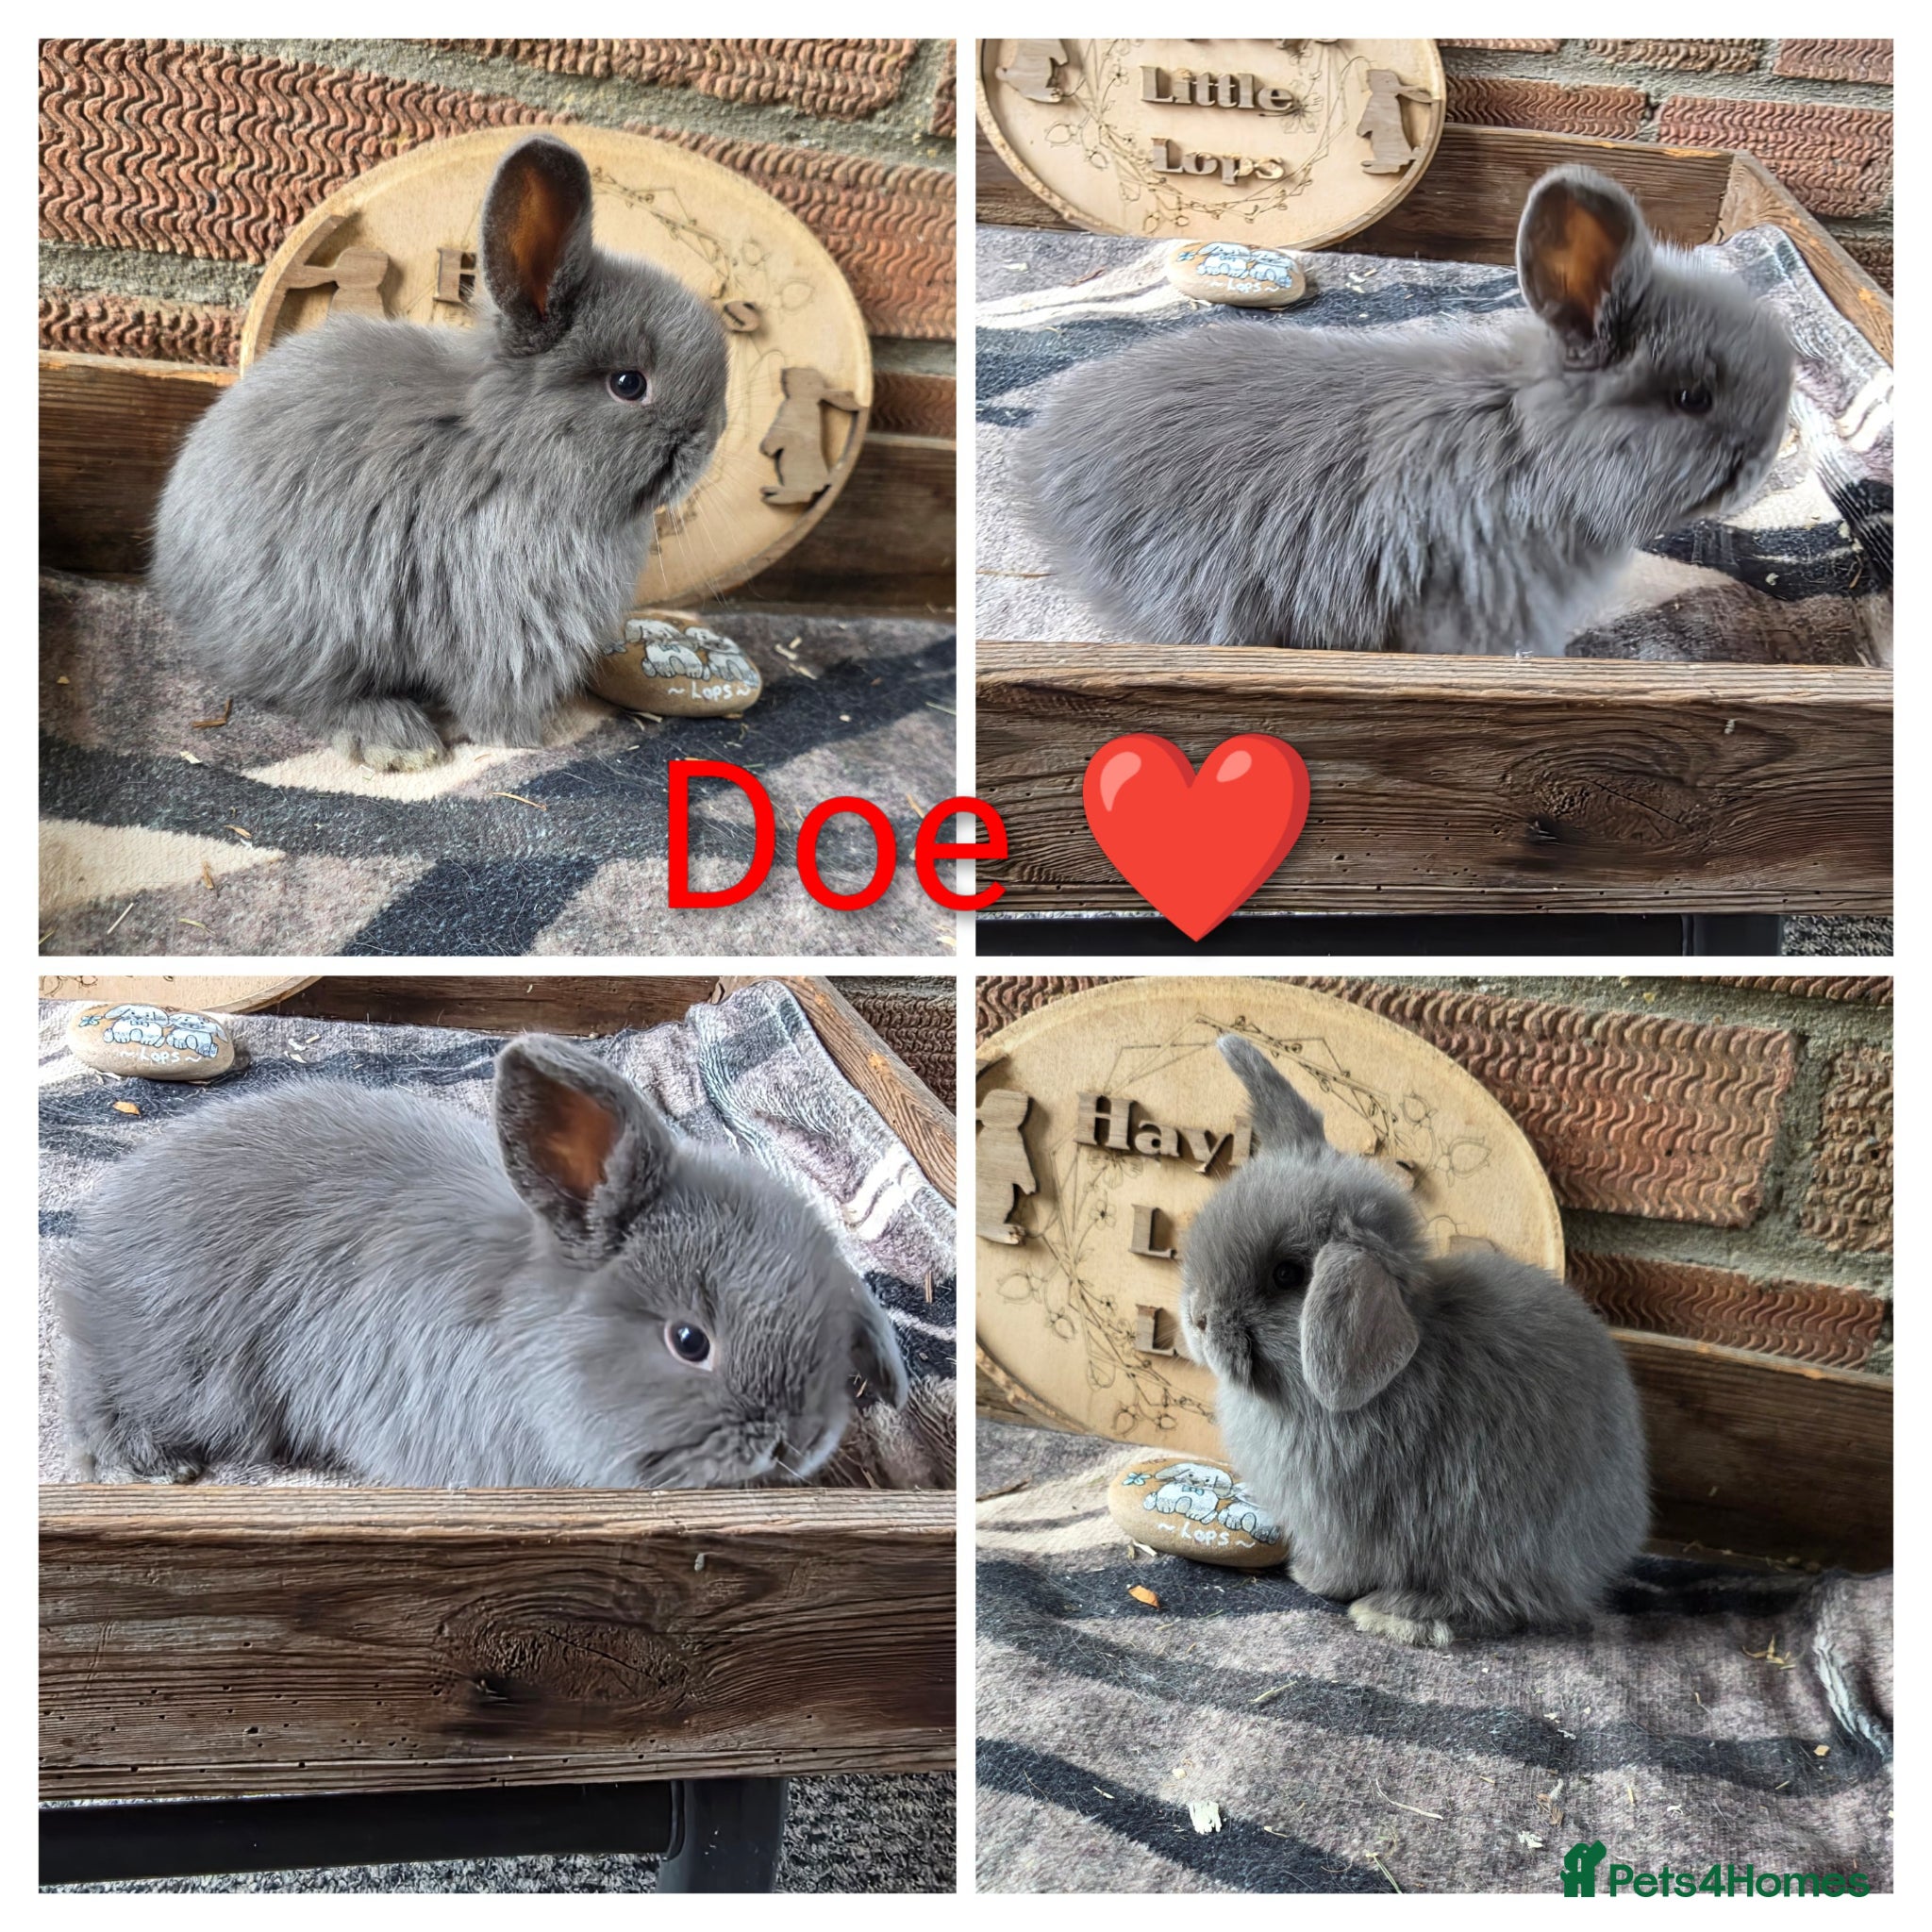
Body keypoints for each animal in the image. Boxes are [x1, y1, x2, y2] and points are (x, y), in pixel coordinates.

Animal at [153, 134, 730, 770]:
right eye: (629, 384)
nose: (710, 440)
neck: (508, 450)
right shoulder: (508, 618)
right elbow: (499, 693)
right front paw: (527, 739)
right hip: (312, 628)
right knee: (309, 694)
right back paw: (399, 741)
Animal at [1179, 1035, 1648, 1646]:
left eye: (1287, 1275)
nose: (1198, 1317)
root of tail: (1611, 1545)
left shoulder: (1341, 1520)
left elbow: (1343, 1564)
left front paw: (1310, 1579)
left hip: (1495, 1539)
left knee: (1501, 1601)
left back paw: (1397, 1614)